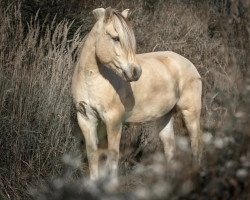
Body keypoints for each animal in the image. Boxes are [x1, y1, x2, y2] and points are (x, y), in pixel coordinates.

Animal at [71, 7, 202, 180]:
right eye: (115, 38)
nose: (135, 72)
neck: (91, 80)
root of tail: (188, 63)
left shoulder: (113, 121)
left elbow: (113, 156)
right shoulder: (86, 119)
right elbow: (93, 155)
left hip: (190, 113)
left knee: (195, 146)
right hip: (164, 117)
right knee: (170, 148)